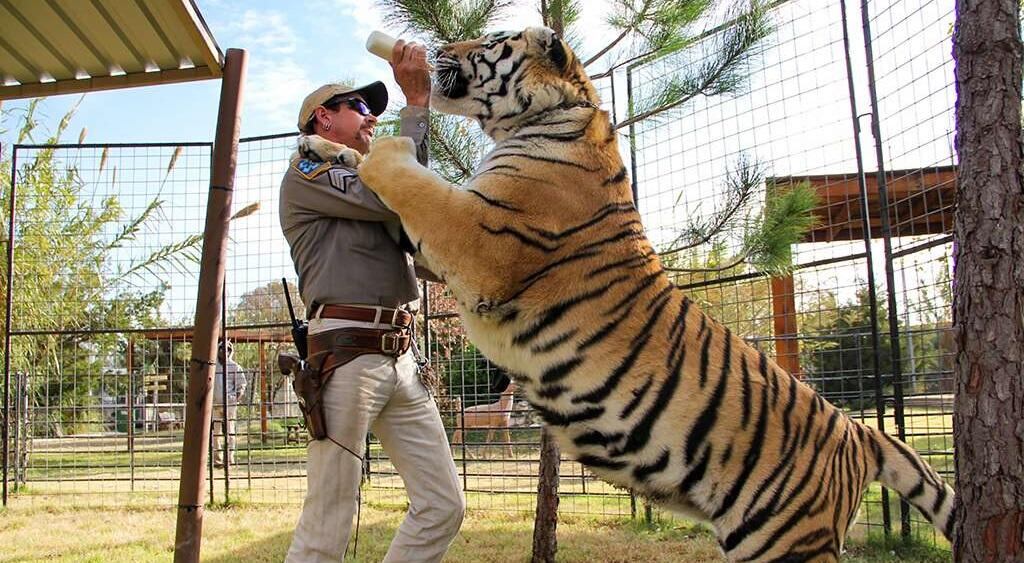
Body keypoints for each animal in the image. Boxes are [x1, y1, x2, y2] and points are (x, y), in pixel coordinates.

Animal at [323, 25, 954, 560]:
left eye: (491, 40)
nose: (438, 48)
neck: (551, 116)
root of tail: (858, 433)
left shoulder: (478, 238)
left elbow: (410, 179)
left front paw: (377, 146)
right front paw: (328, 148)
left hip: (784, 541)